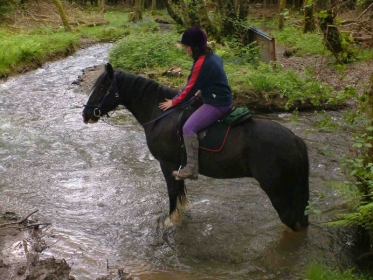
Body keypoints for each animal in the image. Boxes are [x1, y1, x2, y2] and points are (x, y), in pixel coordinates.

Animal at [83, 63, 310, 232]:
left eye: (102, 87)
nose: (85, 114)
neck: (161, 116)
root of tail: (295, 140)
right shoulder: (177, 166)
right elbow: (180, 192)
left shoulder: (167, 164)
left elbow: (172, 192)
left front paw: (171, 221)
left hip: (277, 190)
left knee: (290, 221)